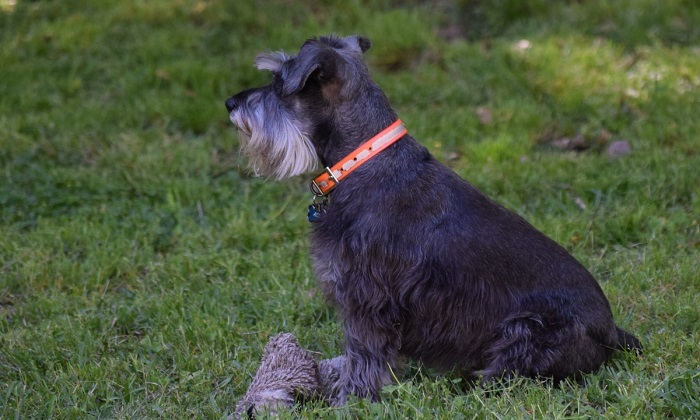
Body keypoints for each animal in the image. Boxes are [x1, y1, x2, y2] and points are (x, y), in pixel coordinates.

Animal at [227, 35, 644, 404]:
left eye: (278, 83)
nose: (231, 102)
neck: (363, 161)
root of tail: (612, 333)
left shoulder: (368, 298)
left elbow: (364, 356)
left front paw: (351, 400)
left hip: (527, 332)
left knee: (506, 378)